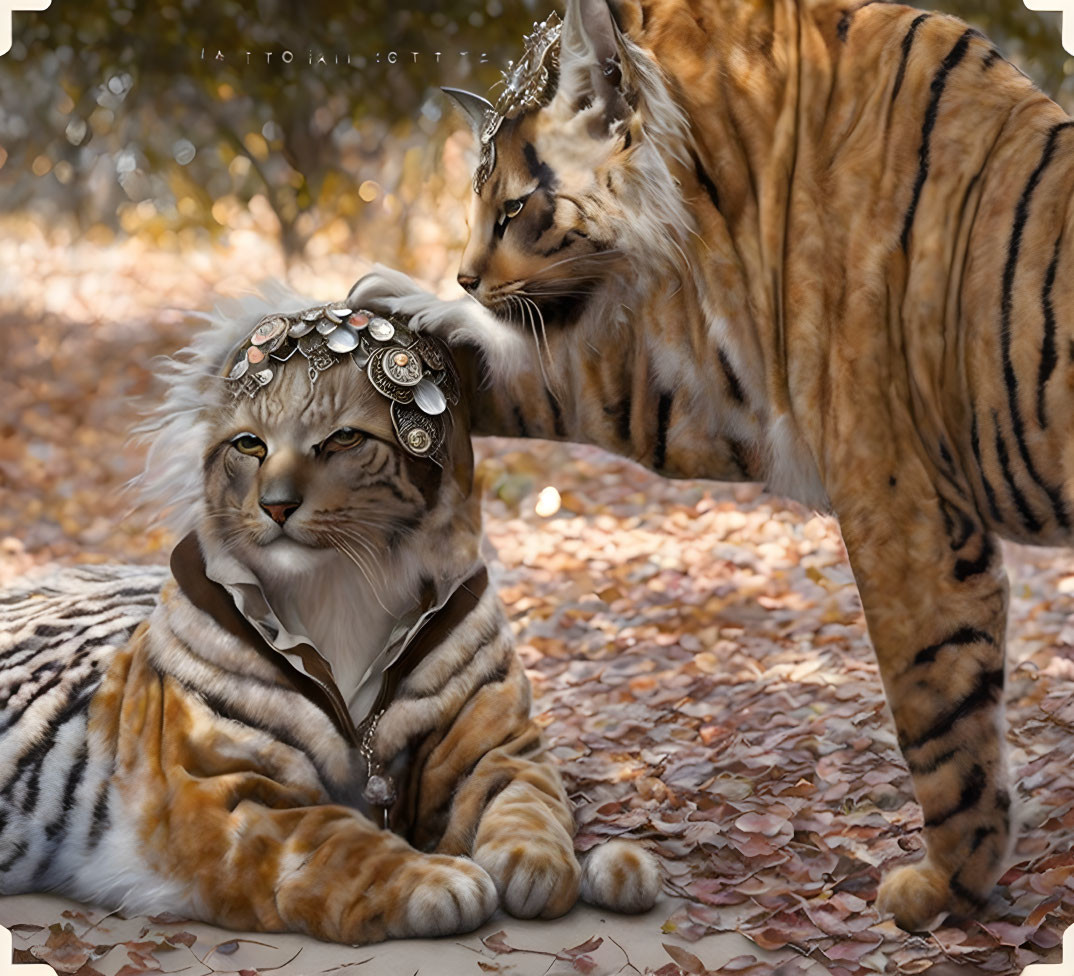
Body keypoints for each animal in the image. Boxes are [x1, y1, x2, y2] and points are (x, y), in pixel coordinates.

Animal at [0, 292, 657, 944]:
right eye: (250, 445)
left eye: (342, 439)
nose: (276, 505)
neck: (339, 590)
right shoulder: (215, 789)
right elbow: (332, 839)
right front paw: (442, 880)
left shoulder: (496, 744)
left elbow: (524, 800)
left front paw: (538, 864)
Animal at [350, 0, 1074, 931]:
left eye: (511, 209)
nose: (466, 279)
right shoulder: (707, 394)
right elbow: (559, 376)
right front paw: (403, 304)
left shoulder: (898, 503)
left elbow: (938, 705)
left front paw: (951, 886)